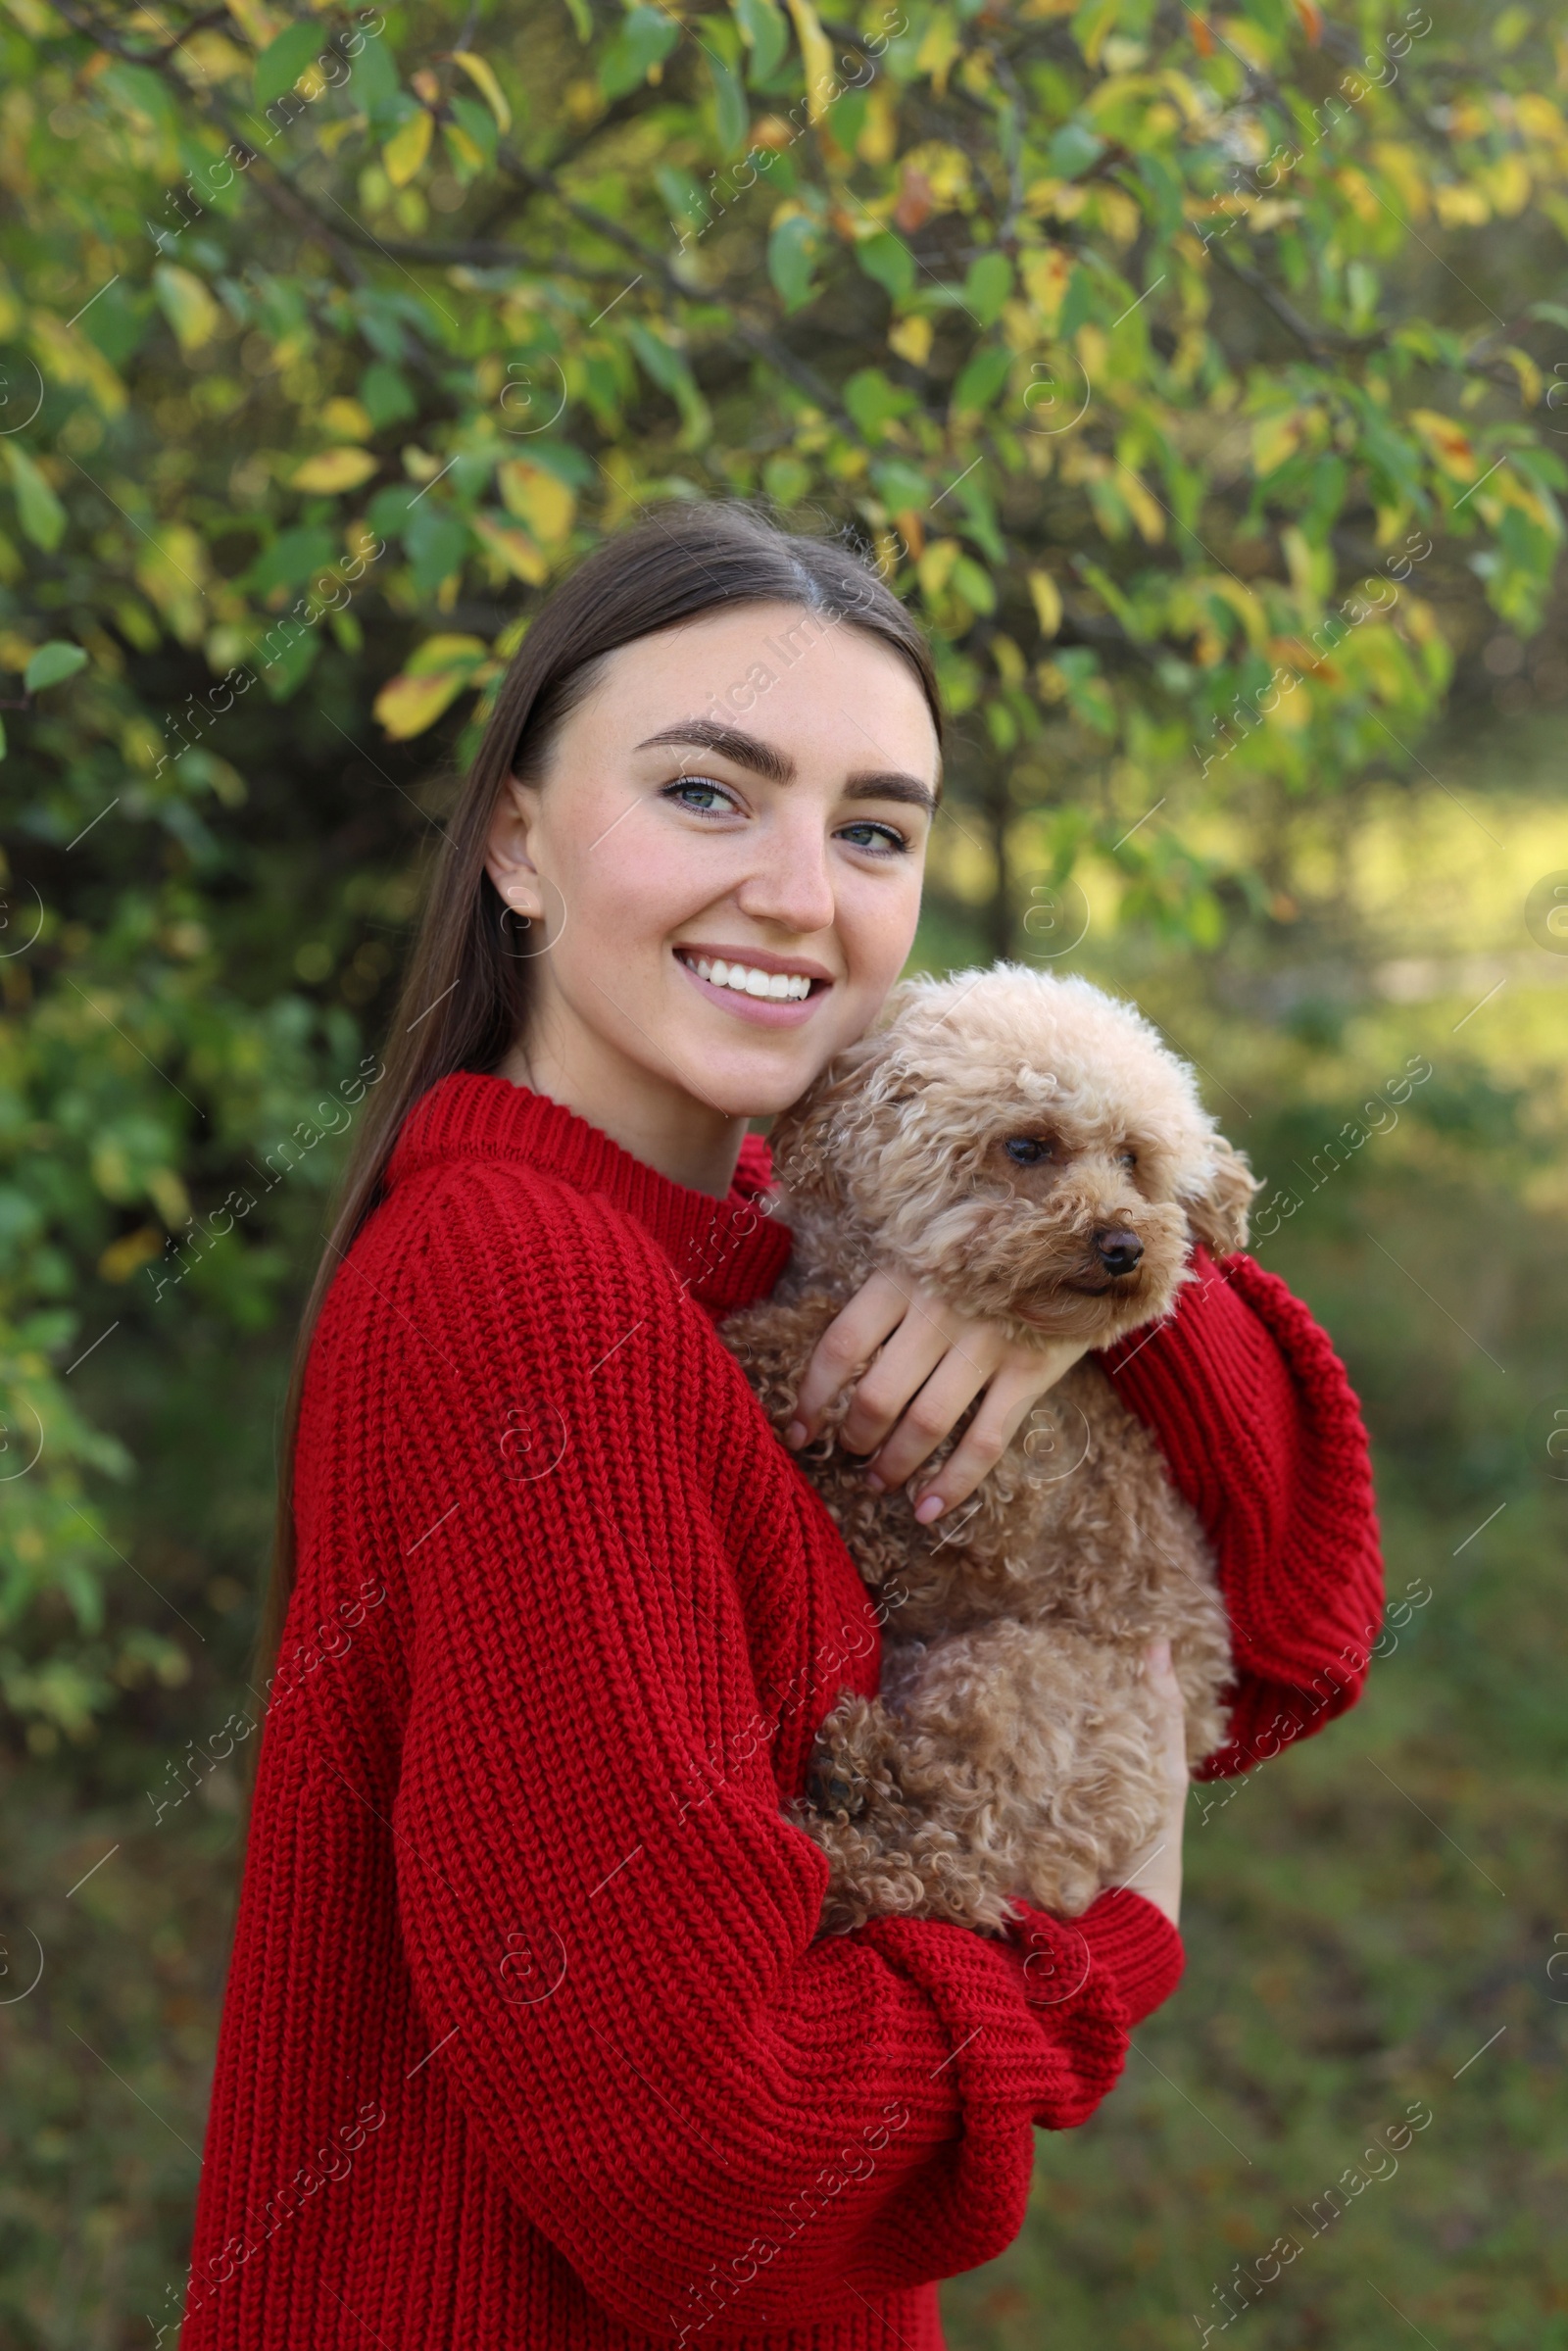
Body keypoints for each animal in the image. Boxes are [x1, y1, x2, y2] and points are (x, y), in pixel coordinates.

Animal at [723, 963, 1259, 1936]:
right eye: (1028, 1145)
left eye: (1134, 1159)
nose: (1125, 1244)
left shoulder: (984, 1483)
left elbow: (807, 1363)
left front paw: (734, 1336)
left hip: (1017, 1686)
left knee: (949, 1867)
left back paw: (852, 1799)